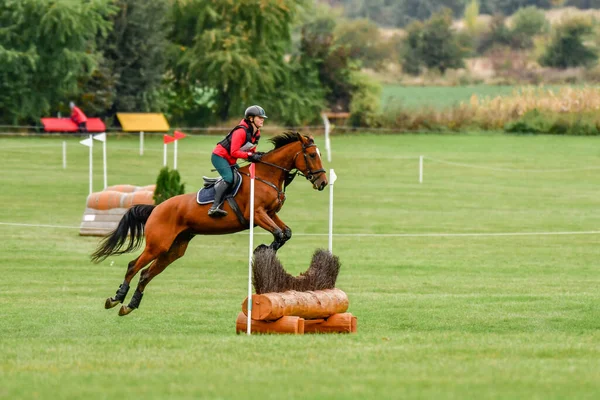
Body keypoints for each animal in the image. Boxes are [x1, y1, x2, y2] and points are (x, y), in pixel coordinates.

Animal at [90, 133, 328, 318]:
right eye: (312, 155)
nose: (323, 182)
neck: (266, 176)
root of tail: (156, 208)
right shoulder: (257, 214)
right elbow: (279, 233)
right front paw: (263, 249)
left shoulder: (270, 214)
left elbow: (285, 232)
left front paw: (263, 249)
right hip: (157, 245)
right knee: (133, 266)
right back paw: (116, 298)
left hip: (174, 249)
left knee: (146, 274)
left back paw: (129, 306)